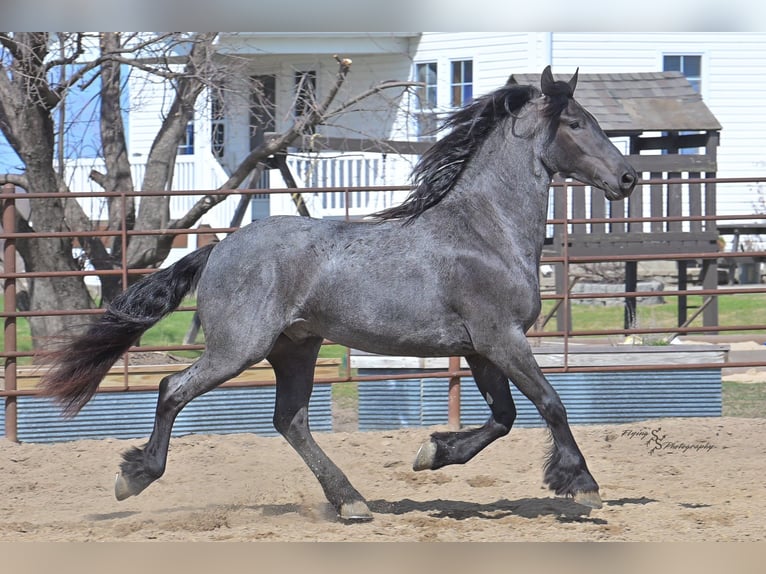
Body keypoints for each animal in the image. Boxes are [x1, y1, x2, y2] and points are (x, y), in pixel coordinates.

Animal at [39, 66, 637, 522]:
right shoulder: (502, 339)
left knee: (291, 420)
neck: (485, 232)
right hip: (239, 349)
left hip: (295, 348)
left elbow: (505, 417)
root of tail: (221, 248)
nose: (628, 178)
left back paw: (351, 501)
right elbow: (550, 403)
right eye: (577, 123)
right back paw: (135, 477)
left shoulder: (480, 348)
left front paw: (432, 453)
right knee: (172, 389)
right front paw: (581, 484)